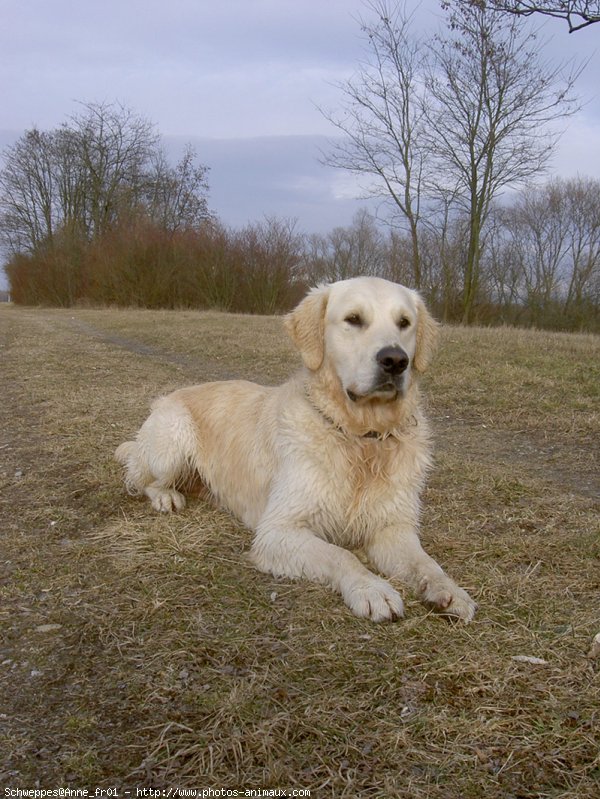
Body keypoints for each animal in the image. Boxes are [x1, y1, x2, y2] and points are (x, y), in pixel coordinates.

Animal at [115, 278, 476, 620]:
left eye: (404, 322)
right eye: (353, 319)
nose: (395, 360)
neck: (361, 436)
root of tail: (166, 398)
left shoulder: (393, 528)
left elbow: (425, 562)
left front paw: (449, 589)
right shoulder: (278, 530)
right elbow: (341, 554)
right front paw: (372, 589)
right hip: (173, 441)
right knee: (141, 479)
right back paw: (165, 496)